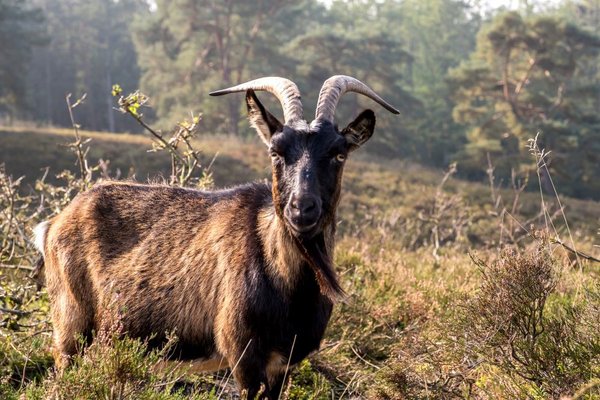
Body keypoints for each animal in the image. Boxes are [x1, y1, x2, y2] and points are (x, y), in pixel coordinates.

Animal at [34, 74, 398, 396]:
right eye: (276, 152)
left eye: (339, 153)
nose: (301, 208)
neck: (289, 285)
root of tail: (53, 224)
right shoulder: (243, 355)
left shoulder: (285, 364)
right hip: (71, 327)